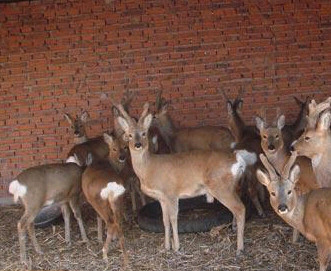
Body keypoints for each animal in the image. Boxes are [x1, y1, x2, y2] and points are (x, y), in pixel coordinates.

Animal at [82, 134, 127, 262]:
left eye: (125, 147)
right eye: (114, 148)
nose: (122, 157)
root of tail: (111, 189)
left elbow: (98, 217)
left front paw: (99, 237)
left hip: (99, 202)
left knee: (110, 222)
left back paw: (105, 252)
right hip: (118, 200)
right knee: (118, 220)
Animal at [115, 102, 260, 255]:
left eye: (144, 133)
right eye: (129, 135)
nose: (138, 145)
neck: (149, 168)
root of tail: (237, 159)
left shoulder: (171, 192)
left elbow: (173, 218)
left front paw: (176, 247)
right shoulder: (161, 197)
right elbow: (164, 221)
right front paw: (166, 247)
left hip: (221, 187)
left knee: (240, 208)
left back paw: (239, 248)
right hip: (231, 187)